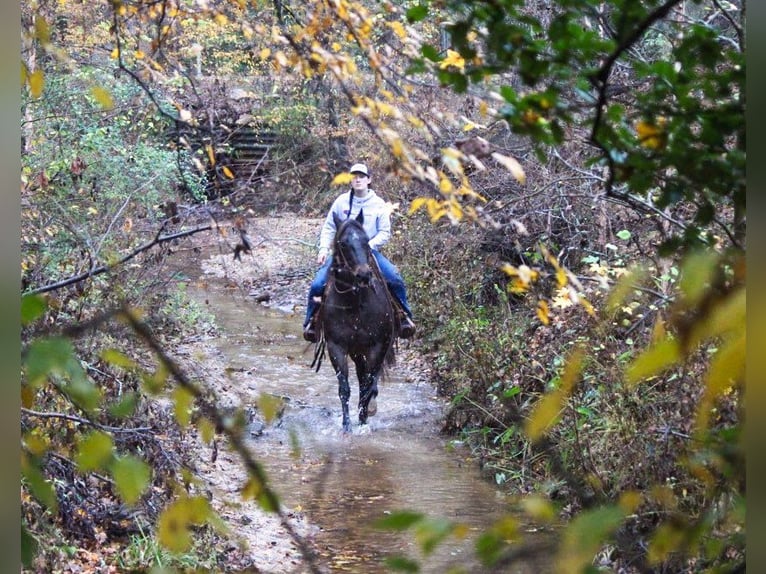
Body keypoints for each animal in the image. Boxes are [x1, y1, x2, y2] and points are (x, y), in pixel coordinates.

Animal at [310, 210, 400, 432]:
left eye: (366, 241)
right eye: (342, 243)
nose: (364, 275)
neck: (355, 301)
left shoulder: (376, 347)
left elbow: (367, 385)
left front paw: (363, 421)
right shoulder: (337, 347)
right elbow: (345, 388)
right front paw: (347, 426)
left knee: (369, 381)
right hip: (357, 352)